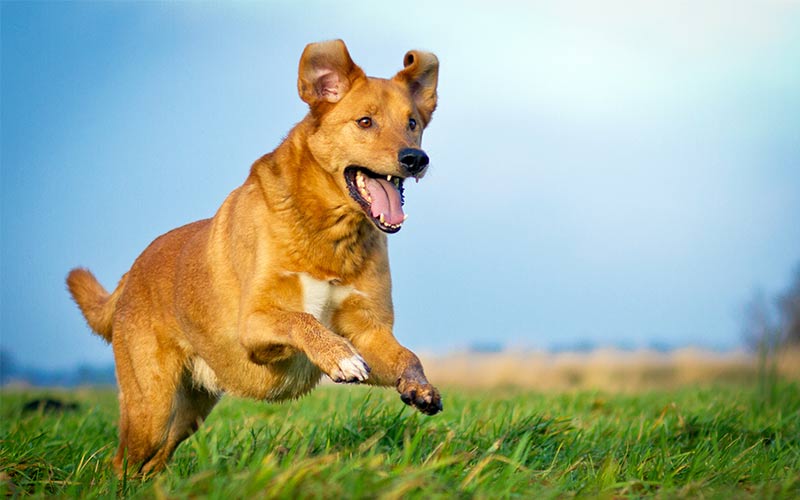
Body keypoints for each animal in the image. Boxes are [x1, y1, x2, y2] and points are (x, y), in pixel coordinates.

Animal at [67, 41, 444, 474]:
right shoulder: (254, 323)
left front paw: (418, 386)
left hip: (187, 413)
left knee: (154, 462)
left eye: (412, 122)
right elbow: (302, 320)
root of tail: (128, 276)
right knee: (122, 462)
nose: (416, 158)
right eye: (365, 122)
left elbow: (406, 355)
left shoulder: (369, 331)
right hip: (151, 408)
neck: (331, 236)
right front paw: (338, 357)